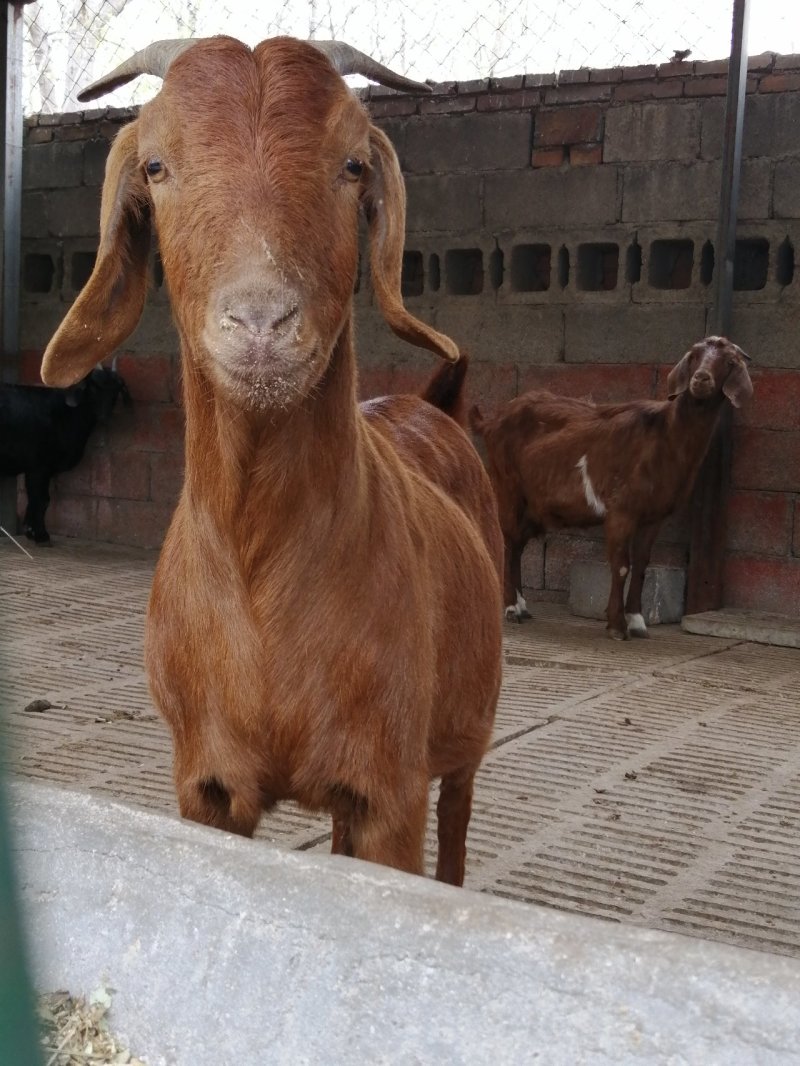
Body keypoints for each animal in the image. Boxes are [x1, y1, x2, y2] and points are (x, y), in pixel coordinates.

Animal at [0, 370, 130, 545]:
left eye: (116, 390)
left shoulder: (35, 469)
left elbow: (35, 500)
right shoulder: (39, 466)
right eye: (93, 388)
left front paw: (30, 531)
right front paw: (41, 536)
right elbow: (41, 500)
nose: (105, 414)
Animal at [40, 35, 503, 882]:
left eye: (352, 164)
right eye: (155, 165)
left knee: (457, 818)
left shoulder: (390, 787)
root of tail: (428, 404)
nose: (260, 323)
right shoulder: (205, 782)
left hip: (469, 722)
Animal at [469, 336, 750, 639]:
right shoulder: (621, 510)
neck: (664, 435)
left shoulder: (654, 515)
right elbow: (621, 566)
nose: (701, 379)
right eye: (694, 356)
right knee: (507, 541)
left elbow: (641, 564)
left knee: (518, 544)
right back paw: (512, 608)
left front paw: (637, 622)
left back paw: (522, 606)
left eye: (729, 362)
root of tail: (491, 421)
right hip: (507, 487)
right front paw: (617, 625)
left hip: (532, 504)